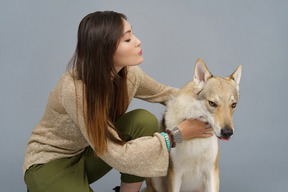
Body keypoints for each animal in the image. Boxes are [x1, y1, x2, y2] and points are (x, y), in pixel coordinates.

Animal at [143, 59, 242, 192]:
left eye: (233, 105)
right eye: (212, 103)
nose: (227, 132)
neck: (196, 140)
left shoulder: (212, 172)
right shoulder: (175, 175)